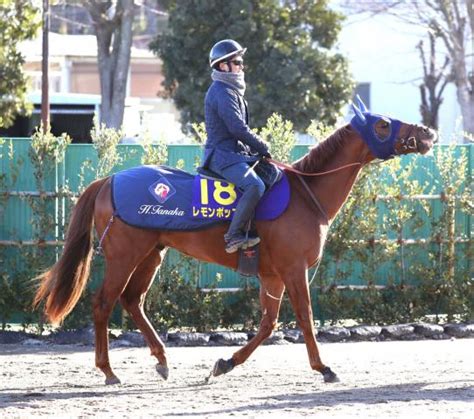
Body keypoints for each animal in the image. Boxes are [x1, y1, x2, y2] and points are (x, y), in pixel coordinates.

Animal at [33, 97, 436, 386]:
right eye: (383, 124)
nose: (428, 132)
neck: (306, 193)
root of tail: (108, 180)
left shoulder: (272, 275)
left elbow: (268, 325)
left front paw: (225, 363)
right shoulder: (293, 270)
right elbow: (304, 318)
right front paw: (324, 367)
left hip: (151, 254)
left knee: (133, 301)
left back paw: (162, 360)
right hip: (124, 255)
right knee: (103, 303)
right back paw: (109, 371)